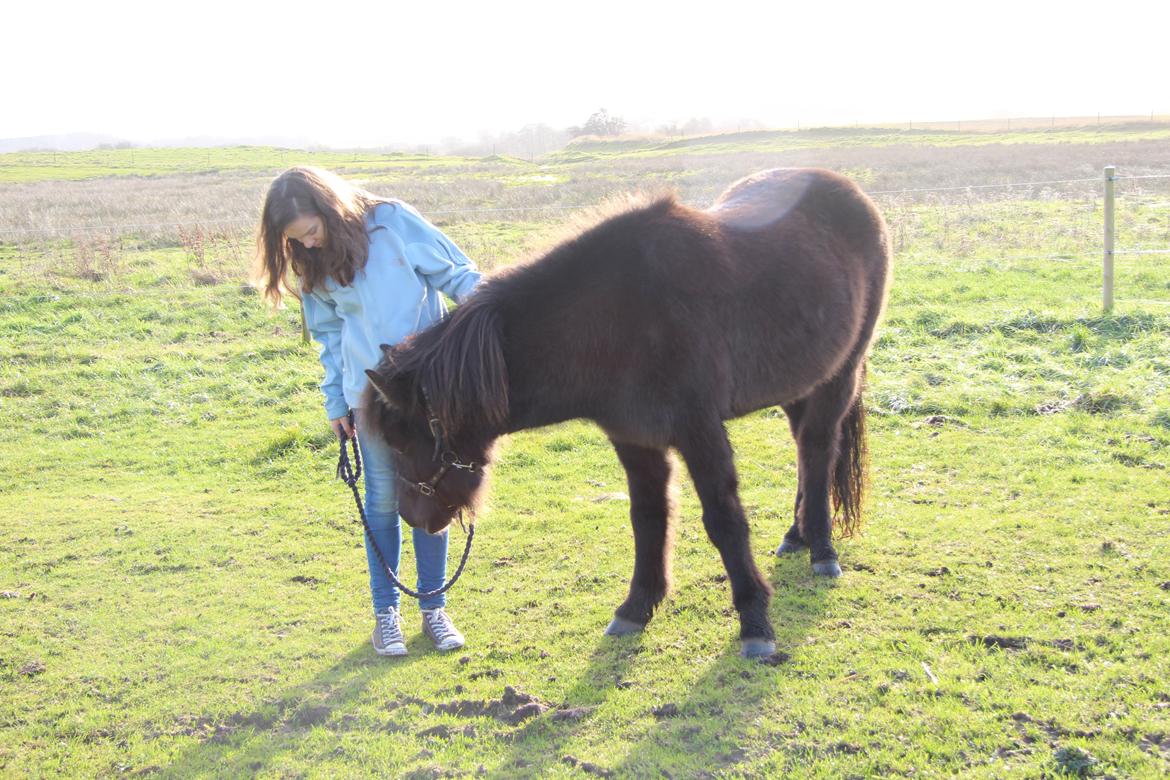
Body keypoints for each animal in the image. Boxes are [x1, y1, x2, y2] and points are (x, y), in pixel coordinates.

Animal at [365, 170, 884, 659]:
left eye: (402, 440)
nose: (412, 517)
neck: (616, 321)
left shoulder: (700, 433)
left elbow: (724, 521)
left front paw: (755, 621)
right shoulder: (635, 439)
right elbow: (647, 518)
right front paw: (637, 607)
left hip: (839, 376)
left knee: (818, 452)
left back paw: (822, 550)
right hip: (798, 383)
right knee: (803, 453)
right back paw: (796, 536)